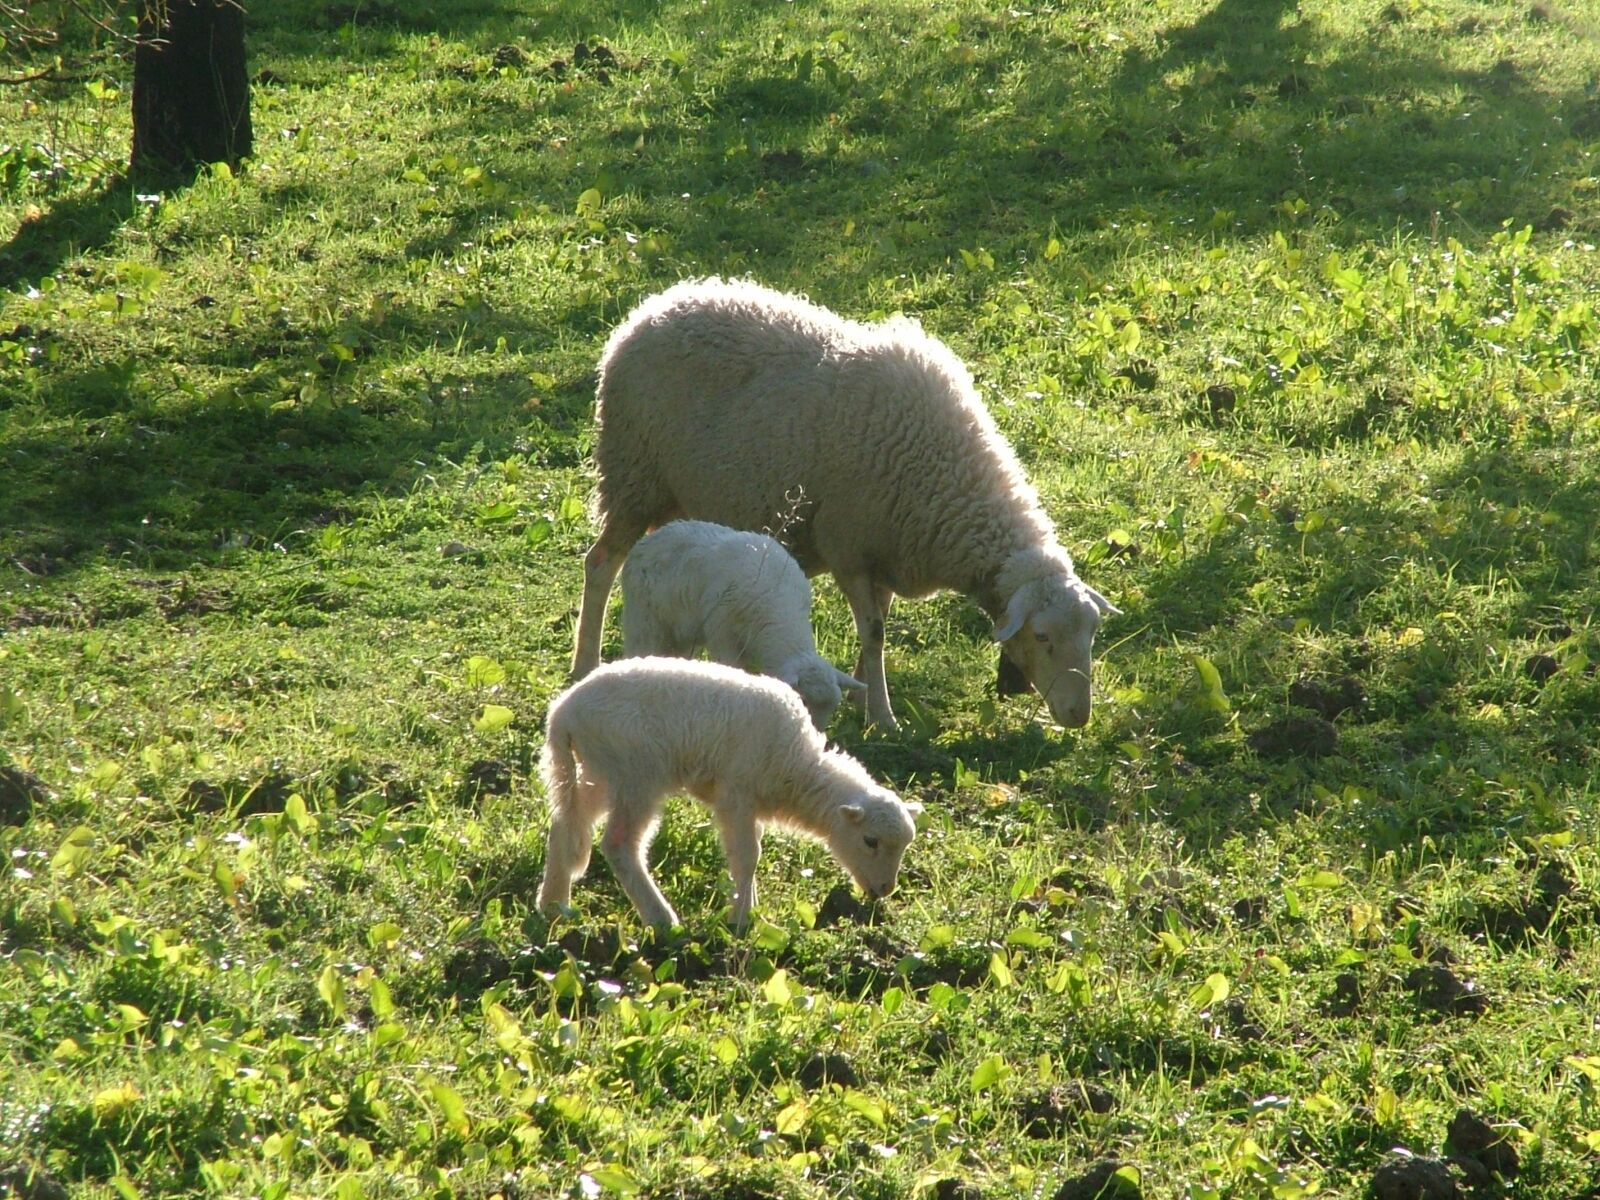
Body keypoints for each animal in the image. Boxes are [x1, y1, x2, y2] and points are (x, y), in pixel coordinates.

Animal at [534, 659, 921, 928]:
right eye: (870, 841)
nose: (884, 890)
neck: (797, 767)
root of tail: (562, 713)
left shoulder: (749, 804)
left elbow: (745, 852)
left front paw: (747, 904)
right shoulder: (737, 794)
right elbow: (748, 856)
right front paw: (740, 919)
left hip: (599, 772)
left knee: (566, 827)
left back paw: (553, 906)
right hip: (636, 776)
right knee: (619, 845)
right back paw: (661, 919)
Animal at [614, 518, 864, 729]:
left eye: (832, 708)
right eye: (801, 700)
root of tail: (648, 539)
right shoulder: (721, 633)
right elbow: (732, 668)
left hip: (679, 633)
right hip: (644, 620)